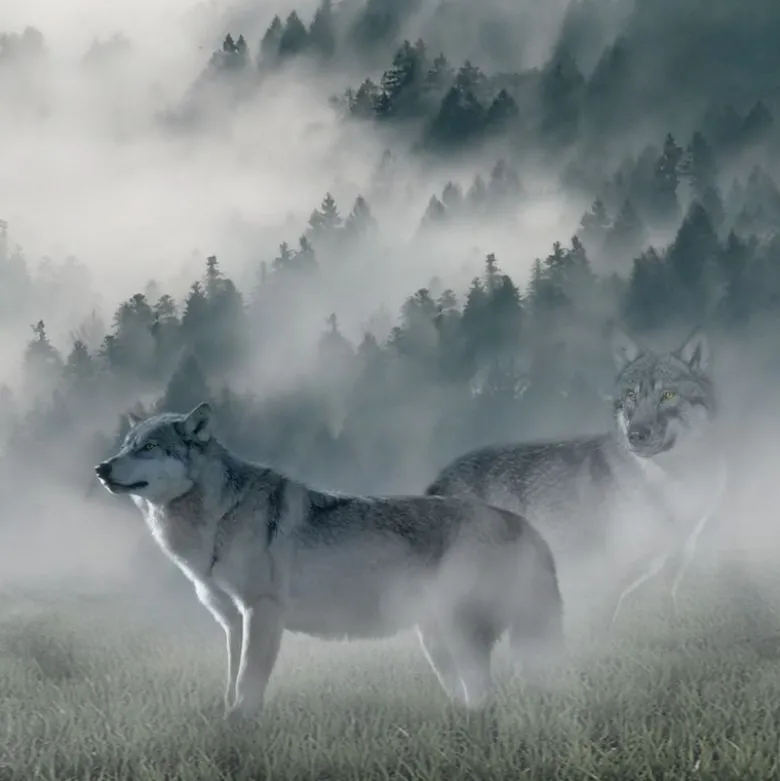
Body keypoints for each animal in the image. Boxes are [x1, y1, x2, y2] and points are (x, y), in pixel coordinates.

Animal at [95, 402, 563, 718]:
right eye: (125, 447)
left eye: (149, 447)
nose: (101, 468)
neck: (218, 516)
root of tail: (519, 521)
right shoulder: (232, 622)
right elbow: (231, 680)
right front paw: (227, 718)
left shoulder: (262, 612)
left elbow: (248, 681)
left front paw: (240, 725)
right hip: (436, 641)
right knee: (472, 695)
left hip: (459, 634)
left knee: (486, 695)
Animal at [426, 328, 727, 630]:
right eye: (631, 395)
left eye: (668, 395)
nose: (636, 435)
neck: (670, 484)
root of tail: (436, 481)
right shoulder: (604, 583)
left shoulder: (673, 571)